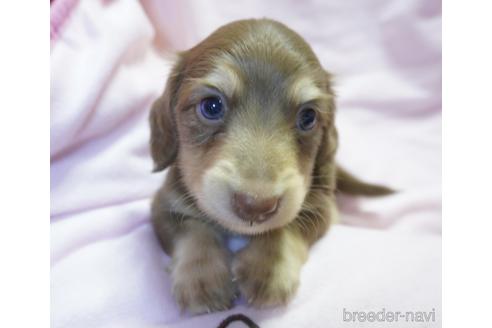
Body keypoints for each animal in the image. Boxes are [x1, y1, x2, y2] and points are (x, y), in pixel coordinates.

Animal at [150, 18, 392, 316]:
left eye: (308, 117)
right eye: (211, 106)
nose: (255, 206)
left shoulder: (321, 208)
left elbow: (286, 226)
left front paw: (267, 269)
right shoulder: (163, 204)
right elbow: (193, 230)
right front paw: (203, 279)